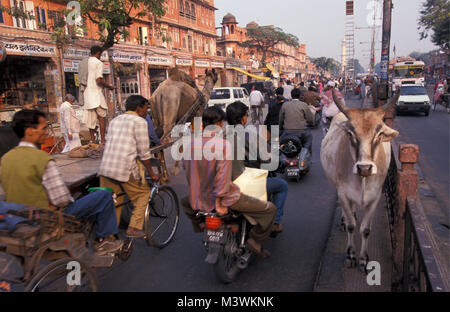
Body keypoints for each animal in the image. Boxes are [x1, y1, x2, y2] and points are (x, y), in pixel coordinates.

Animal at [320, 89, 400, 272]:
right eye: (350, 133)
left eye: (379, 133)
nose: (364, 168)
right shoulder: (343, 193)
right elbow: (351, 226)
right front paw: (351, 256)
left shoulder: (375, 197)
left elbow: (365, 229)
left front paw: (364, 259)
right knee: (347, 214)